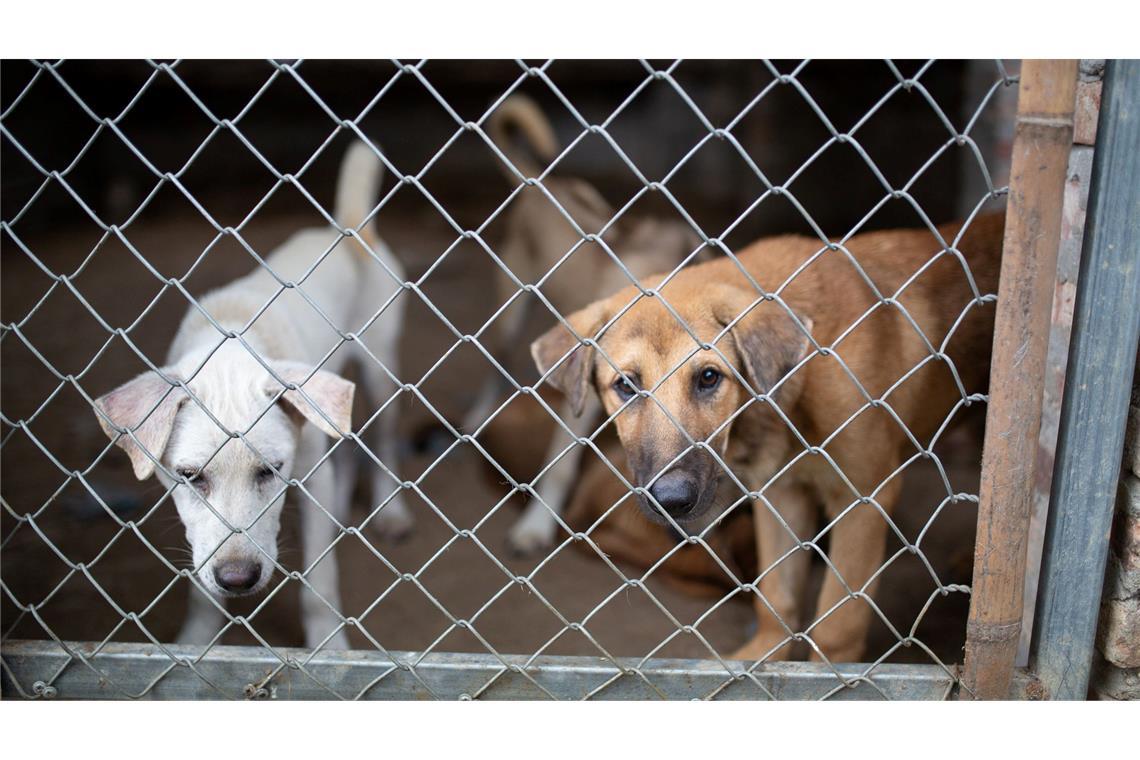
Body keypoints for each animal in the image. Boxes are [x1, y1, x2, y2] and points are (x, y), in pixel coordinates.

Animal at [94, 141, 410, 647]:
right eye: (189, 476)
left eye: (271, 471)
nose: (238, 580)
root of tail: (348, 232)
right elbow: (202, 584)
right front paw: (196, 642)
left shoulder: (309, 476)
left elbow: (320, 580)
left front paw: (329, 646)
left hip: (381, 371)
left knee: (382, 440)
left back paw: (392, 510)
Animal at [528, 213, 1003, 660]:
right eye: (625, 385)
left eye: (708, 377)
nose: (672, 501)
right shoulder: (782, 492)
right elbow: (776, 596)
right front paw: (763, 661)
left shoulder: (864, 498)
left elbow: (838, 623)